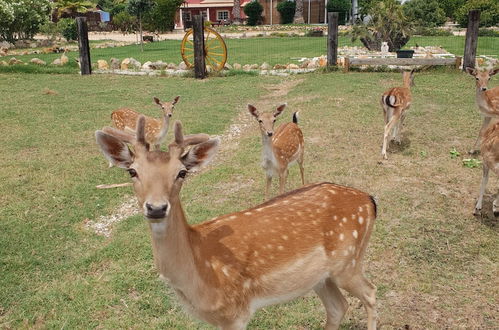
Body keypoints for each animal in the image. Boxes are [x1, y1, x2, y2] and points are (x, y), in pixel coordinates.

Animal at [94, 118, 378, 330]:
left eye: (182, 172)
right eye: (132, 171)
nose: (156, 208)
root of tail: (369, 200)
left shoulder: (236, 312)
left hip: (349, 261)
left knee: (371, 293)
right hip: (322, 276)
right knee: (338, 307)